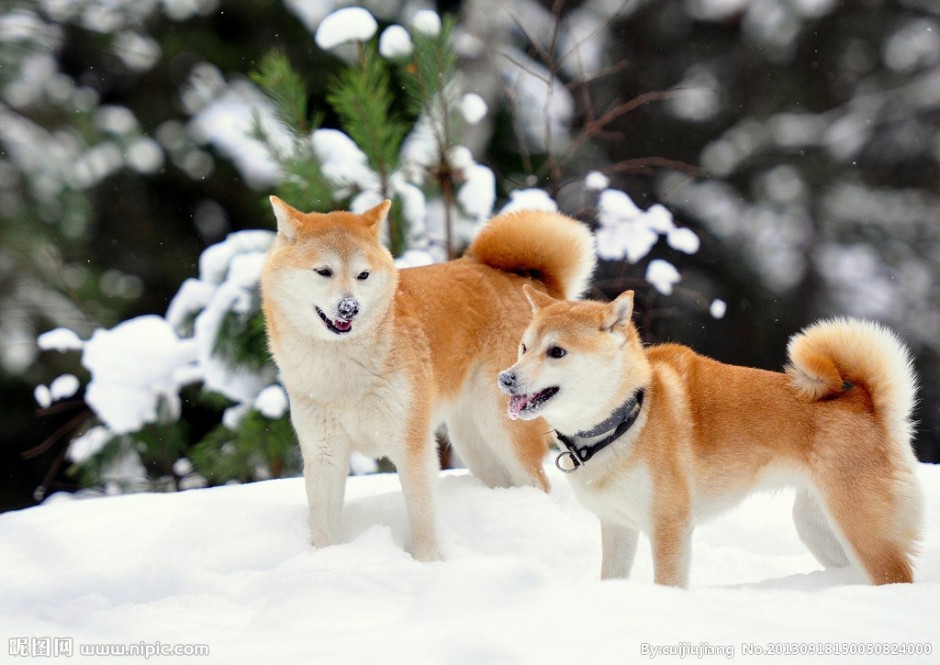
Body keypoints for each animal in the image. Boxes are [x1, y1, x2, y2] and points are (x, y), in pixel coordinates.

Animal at [258, 198, 596, 560]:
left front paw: (426, 564)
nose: (350, 308)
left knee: (540, 484)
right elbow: (323, 527)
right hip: (475, 444)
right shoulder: (324, 453)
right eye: (324, 271)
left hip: (505, 433)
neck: (343, 373)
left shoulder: (412, 445)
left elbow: (422, 519)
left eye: (363, 275)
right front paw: (325, 560)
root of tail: (530, 283)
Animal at [500, 286, 924, 588]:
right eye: (523, 347)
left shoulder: (669, 526)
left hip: (863, 530)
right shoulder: (618, 526)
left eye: (556, 351)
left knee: (896, 577)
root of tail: (867, 402)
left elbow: (668, 583)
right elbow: (611, 577)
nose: (505, 378)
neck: (627, 418)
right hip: (818, 528)